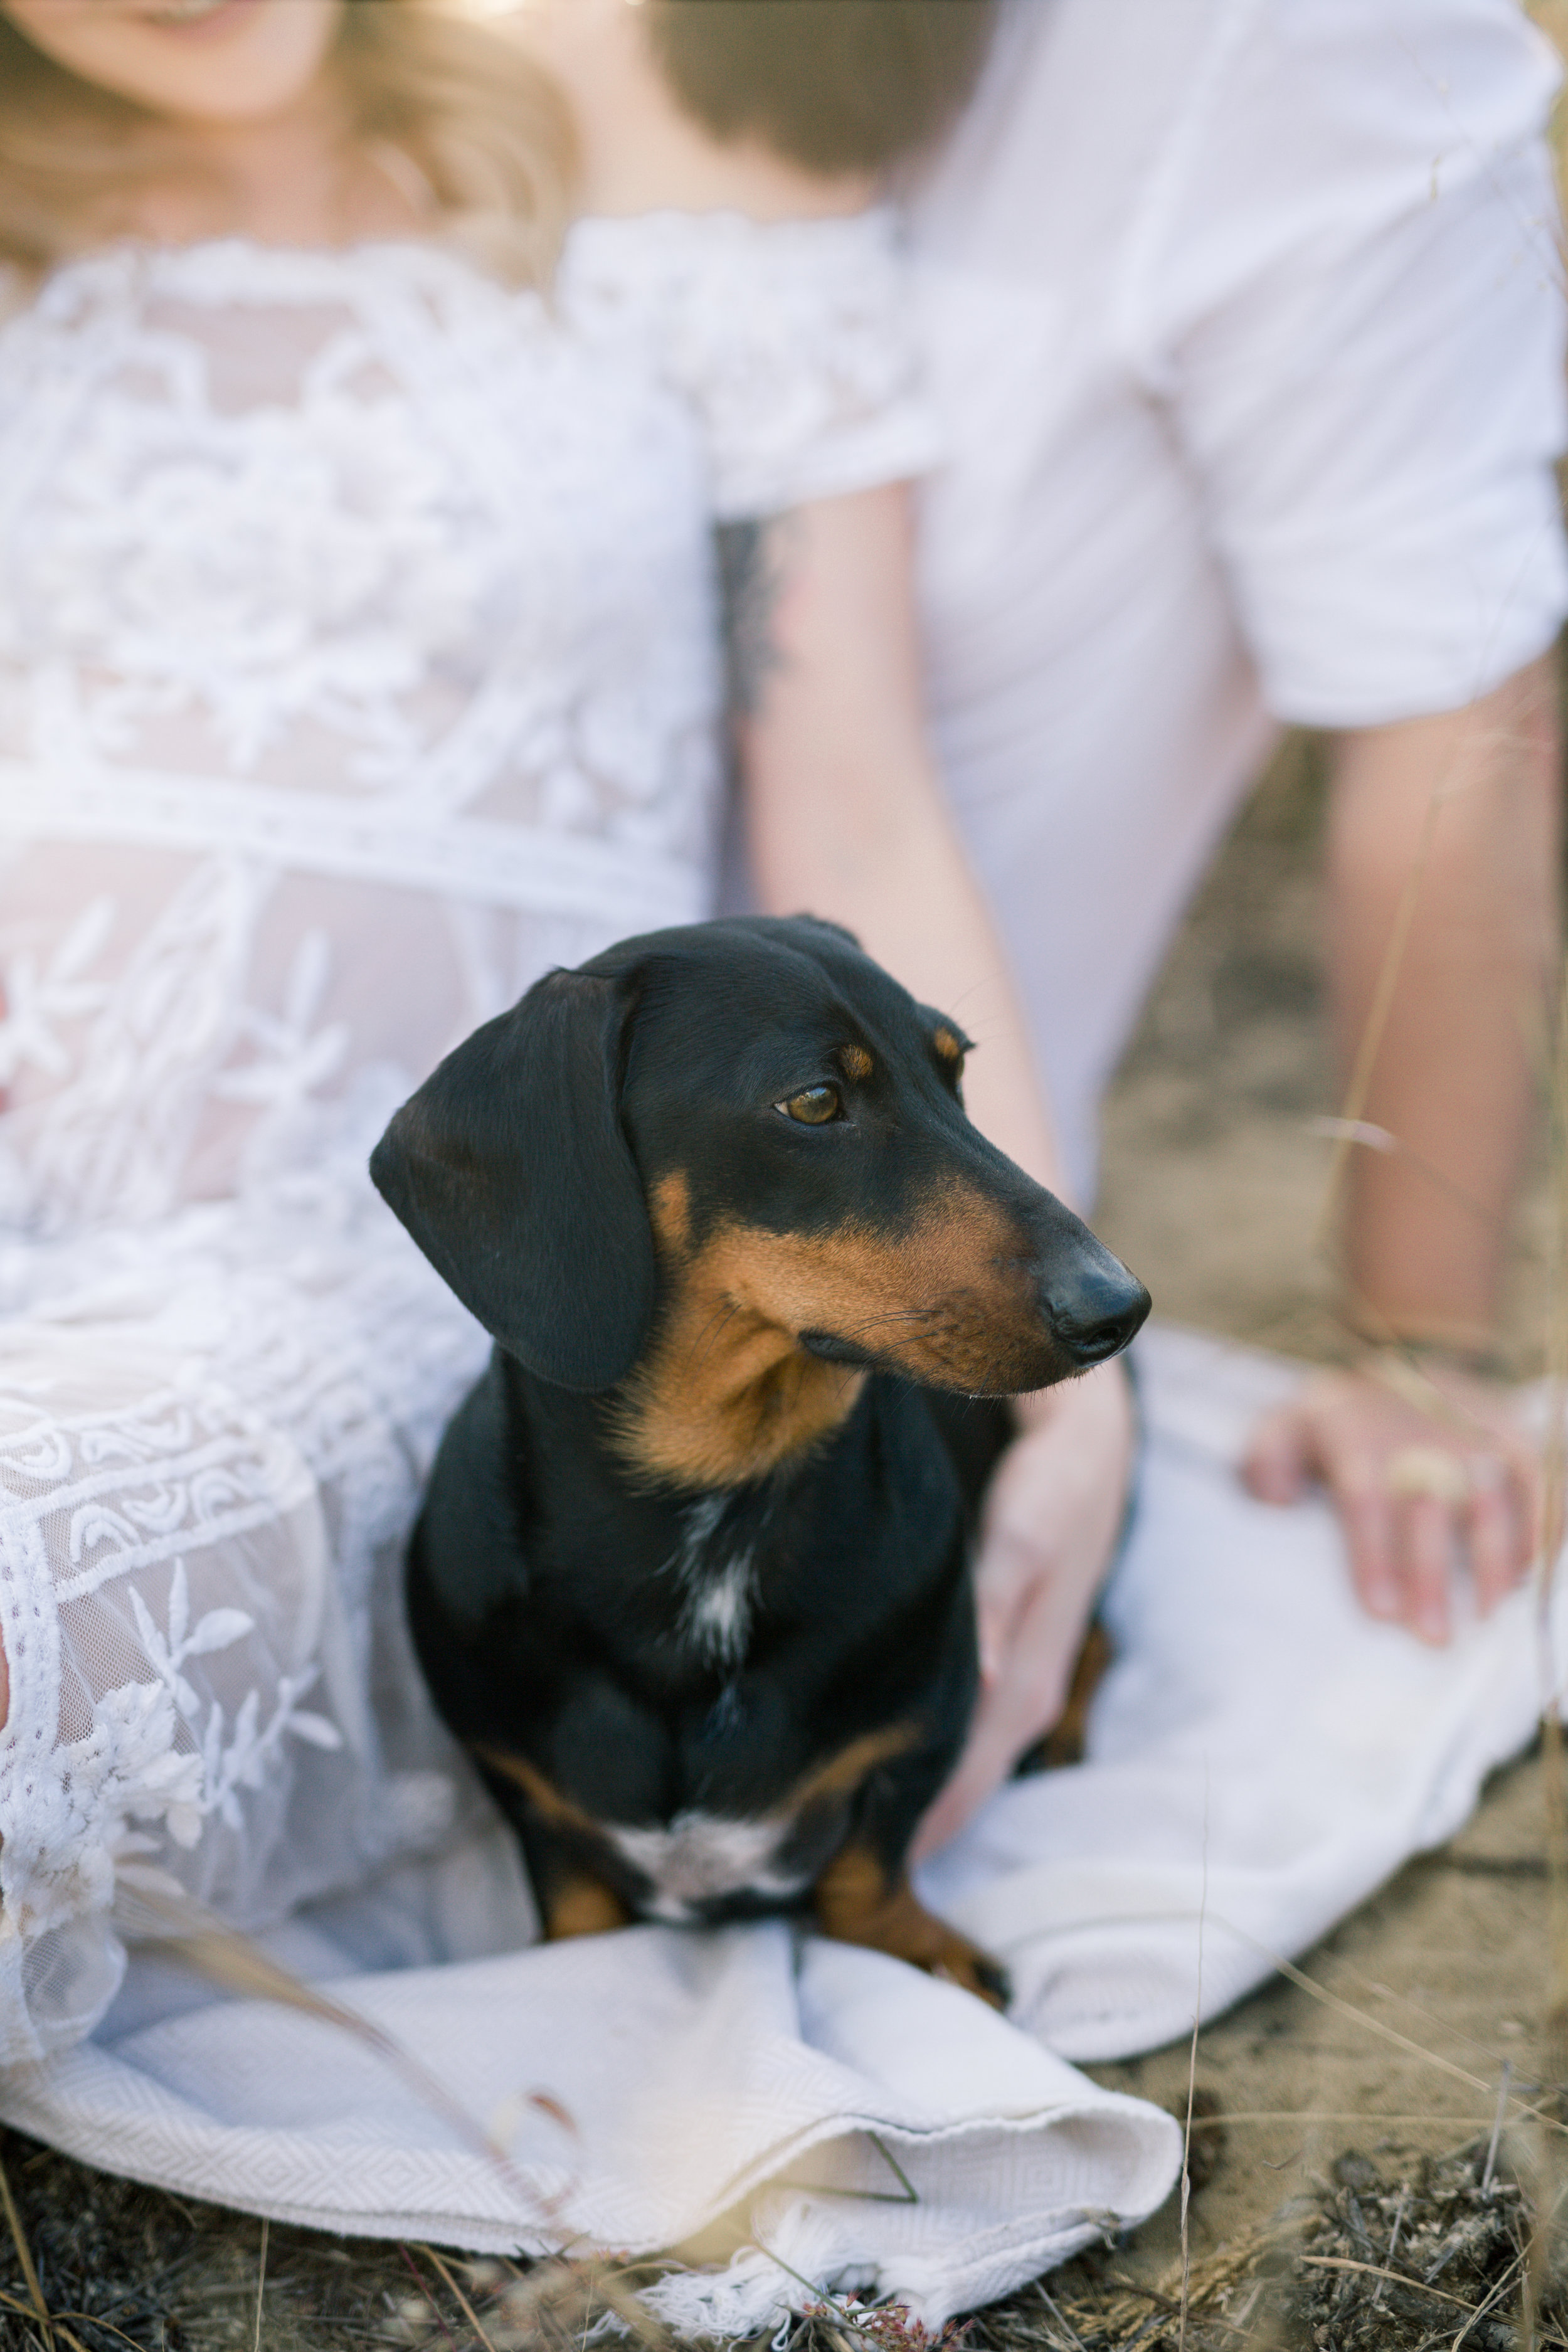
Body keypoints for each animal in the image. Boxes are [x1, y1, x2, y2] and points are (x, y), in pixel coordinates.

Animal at [373, 913, 1147, 2004]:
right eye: (815, 1101)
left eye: (956, 1068)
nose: (1117, 1307)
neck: (721, 1501)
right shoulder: (524, 1793)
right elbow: (576, 1905)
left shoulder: (914, 1745)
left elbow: (869, 1864)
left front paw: (923, 1952)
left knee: (1098, 1629)